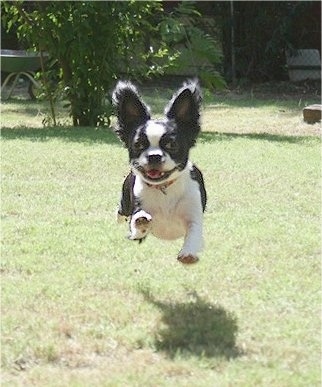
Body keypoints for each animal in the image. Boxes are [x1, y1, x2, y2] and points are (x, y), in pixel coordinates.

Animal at [112, 80, 206, 266]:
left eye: (172, 145)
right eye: (138, 145)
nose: (154, 156)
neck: (164, 188)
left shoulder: (193, 215)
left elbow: (194, 233)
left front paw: (188, 253)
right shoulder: (136, 210)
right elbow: (136, 225)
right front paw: (141, 223)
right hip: (124, 204)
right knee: (121, 213)